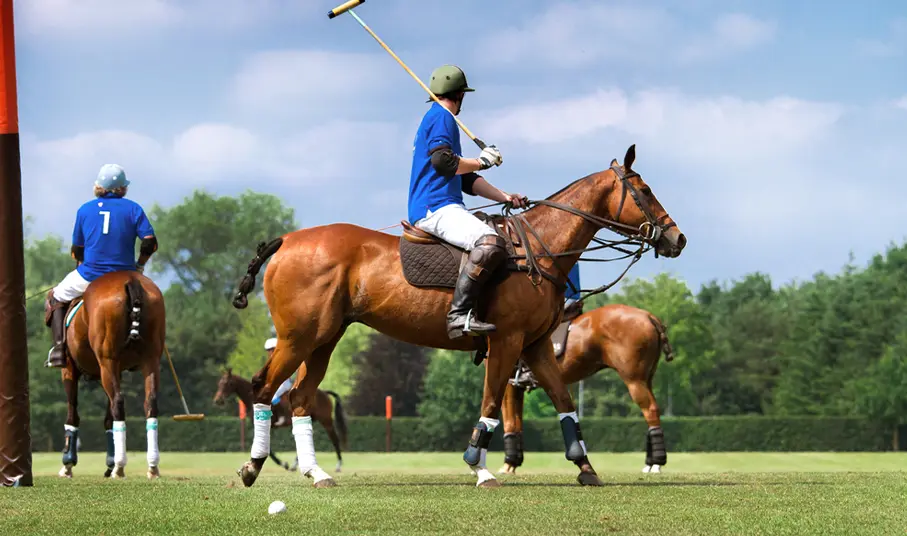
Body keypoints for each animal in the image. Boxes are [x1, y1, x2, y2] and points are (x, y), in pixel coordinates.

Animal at [53, 270, 167, 480]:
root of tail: (131, 280)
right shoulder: (118, 370)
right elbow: (108, 418)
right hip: (150, 360)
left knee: (118, 403)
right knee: (150, 402)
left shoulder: (70, 369)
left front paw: (68, 464)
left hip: (107, 361)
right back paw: (152, 466)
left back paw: (120, 467)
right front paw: (109, 463)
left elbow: (73, 414)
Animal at [215, 370, 350, 472]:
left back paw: (338, 465)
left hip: (326, 421)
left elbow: (268, 450)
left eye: (227, 383)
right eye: (219, 383)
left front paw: (283, 464)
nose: (218, 400)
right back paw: (295, 464)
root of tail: (324, 392)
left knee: (335, 439)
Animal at [496, 304, 672, 476]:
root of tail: (649, 316)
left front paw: (508, 464)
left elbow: (510, 423)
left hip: (634, 380)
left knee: (650, 410)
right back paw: (650, 463)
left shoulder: (507, 382)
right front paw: (514, 463)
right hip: (647, 379)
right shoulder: (516, 385)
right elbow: (517, 423)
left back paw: (657, 462)